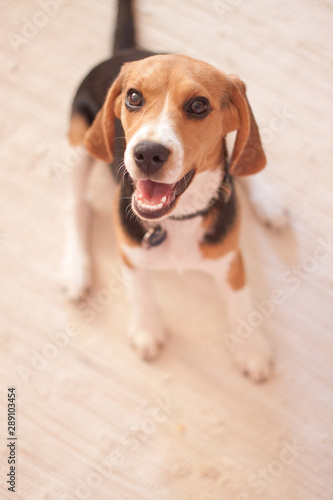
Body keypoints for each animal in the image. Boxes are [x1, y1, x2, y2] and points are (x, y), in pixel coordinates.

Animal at [63, 0, 286, 382]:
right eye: (133, 97)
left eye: (198, 105)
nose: (148, 153)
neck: (180, 218)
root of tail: (125, 52)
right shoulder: (130, 253)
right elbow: (141, 290)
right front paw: (147, 329)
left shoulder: (231, 259)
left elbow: (241, 301)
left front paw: (251, 347)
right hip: (81, 143)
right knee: (77, 206)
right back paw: (76, 269)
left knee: (243, 160)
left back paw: (268, 201)